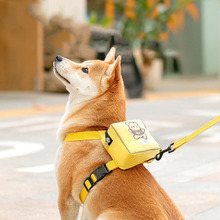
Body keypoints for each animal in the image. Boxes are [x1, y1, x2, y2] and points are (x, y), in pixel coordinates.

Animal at [53, 47, 184, 219]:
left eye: (85, 69)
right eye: (83, 63)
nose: (58, 57)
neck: (92, 128)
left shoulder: (66, 197)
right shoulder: (87, 208)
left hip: (107, 214)